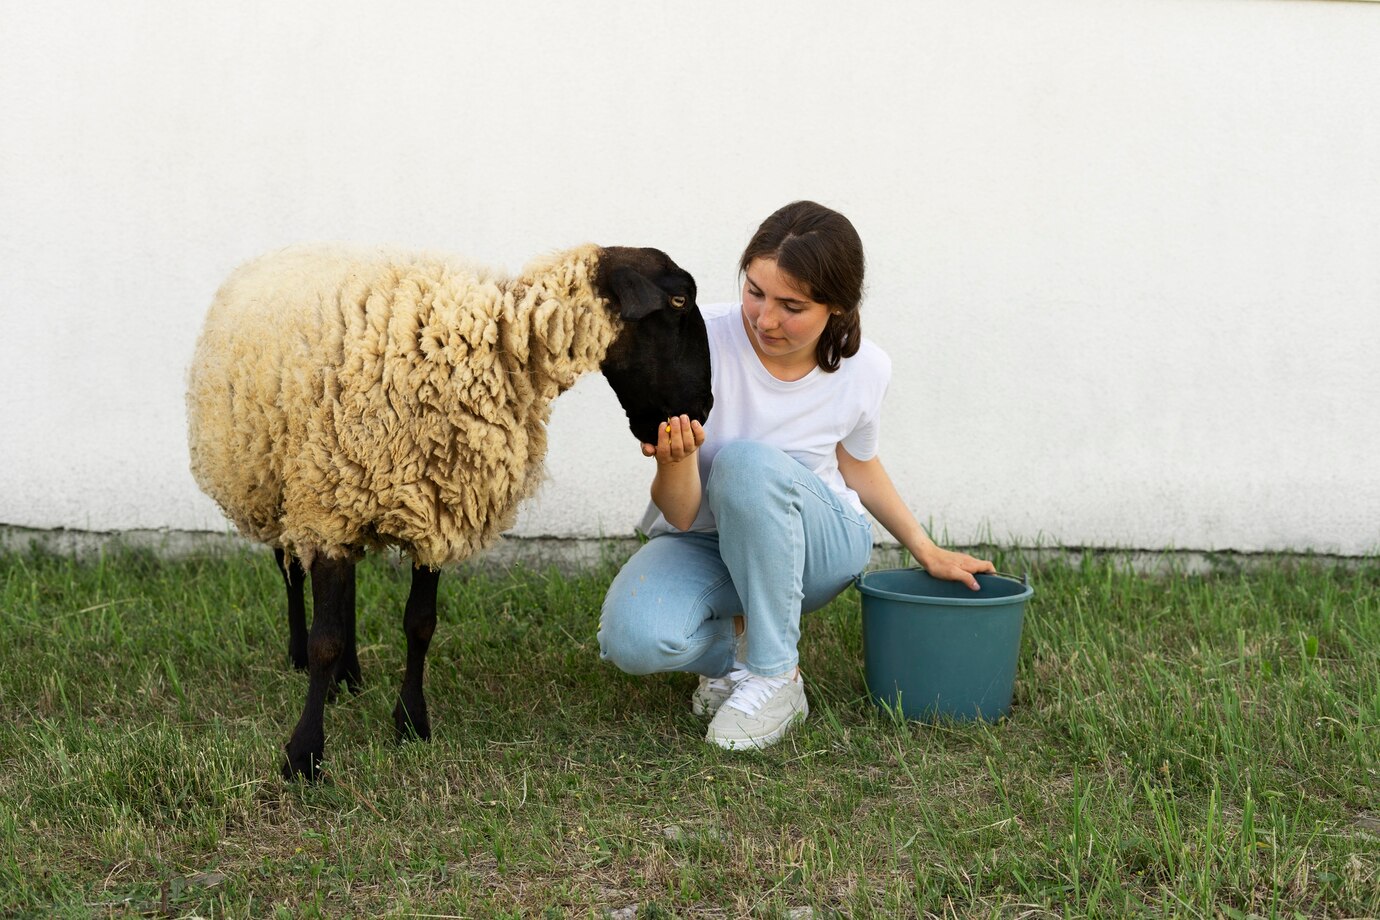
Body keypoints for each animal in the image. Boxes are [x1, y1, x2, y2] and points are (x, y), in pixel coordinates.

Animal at [186, 241, 712, 783]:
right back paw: (304, 660)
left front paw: (411, 722)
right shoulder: (327, 504)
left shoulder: (435, 506)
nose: (704, 407)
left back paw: (348, 678)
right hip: (268, 480)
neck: (497, 344)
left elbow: (420, 624)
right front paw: (304, 754)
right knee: (290, 570)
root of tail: (277, 254)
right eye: (677, 301)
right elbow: (323, 640)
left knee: (345, 584)